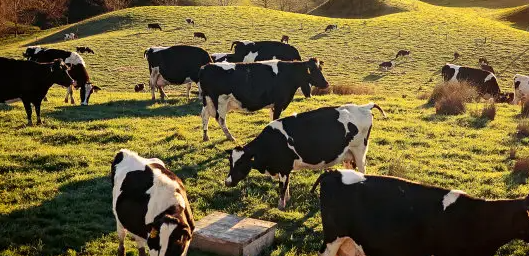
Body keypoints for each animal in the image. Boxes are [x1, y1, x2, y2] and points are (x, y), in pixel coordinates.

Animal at [200, 57, 328, 142]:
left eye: (320, 68)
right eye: (314, 70)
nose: (326, 83)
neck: (288, 74)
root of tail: (205, 67)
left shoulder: (274, 105)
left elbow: (272, 119)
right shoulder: (279, 103)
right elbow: (276, 118)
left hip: (208, 101)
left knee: (205, 115)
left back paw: (206, 136)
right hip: (221, 102)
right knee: (220, 119)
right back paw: (230, 137)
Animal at [222, 103, 384, 209]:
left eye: (241, 162)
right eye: (230, 162)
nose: (227, 182)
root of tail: (364, 106)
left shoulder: (283, 168)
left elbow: (282, 188)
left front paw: (281, 206)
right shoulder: (285, 169)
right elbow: (286, 186)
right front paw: (287, 200)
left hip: (360, 151)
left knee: (362, 171)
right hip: (348, 155)